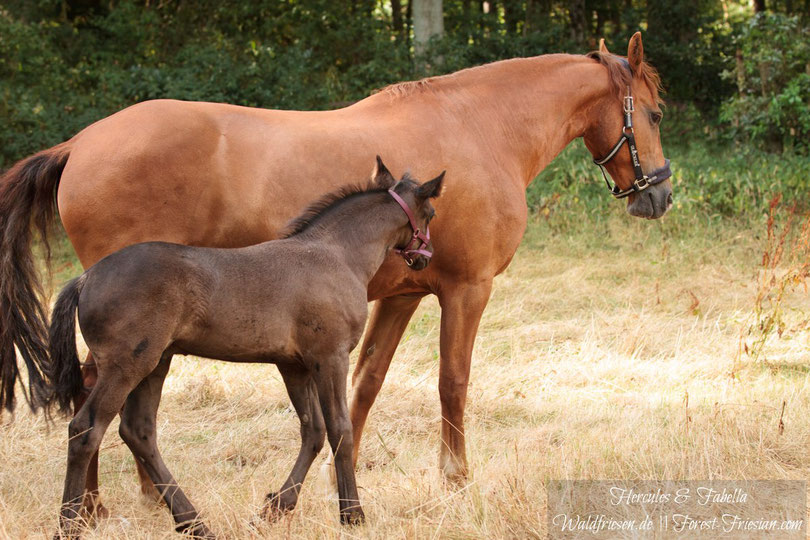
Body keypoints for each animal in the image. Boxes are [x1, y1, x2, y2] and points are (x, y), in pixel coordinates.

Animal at [45, 161, 442, 540]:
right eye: (431, 213)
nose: (427, 256)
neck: (335, 255)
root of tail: (87, 278)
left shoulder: (294, 366)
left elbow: (312, 431)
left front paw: (274, 509)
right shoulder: (330, 357)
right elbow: (339, 430)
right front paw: (353, 515)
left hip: (155, 363)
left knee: (138, 431)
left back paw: (195, 524)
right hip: (126, 366)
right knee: (85, 429)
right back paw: (68, 525)